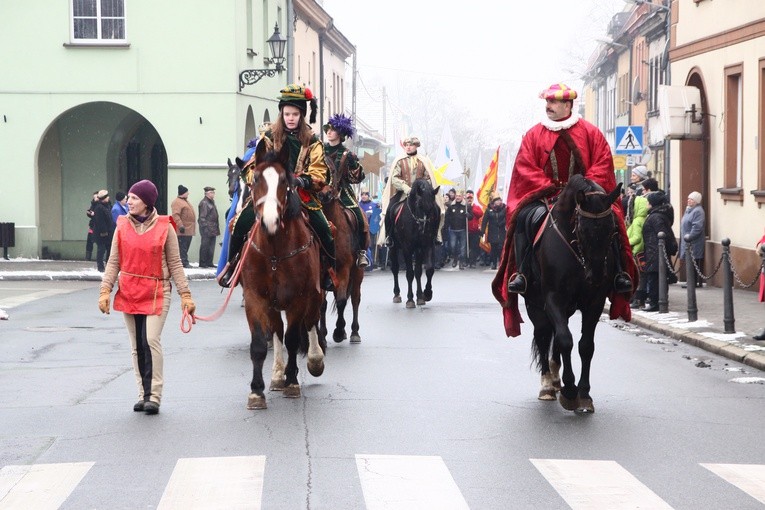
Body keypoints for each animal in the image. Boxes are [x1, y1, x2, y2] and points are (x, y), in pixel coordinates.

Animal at [236, 148, 326, 410]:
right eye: (255, 179)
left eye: (285, 181)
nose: (269, 220)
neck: (275, 250)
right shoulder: (255, 298)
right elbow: (259, 343)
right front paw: (256, 391)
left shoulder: (299, 299)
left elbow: (293, 339)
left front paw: (293, 381)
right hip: (273, 303)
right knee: (276, 330)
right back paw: (277, 375)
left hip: (315, 295)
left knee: (311, 323)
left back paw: (314, 361)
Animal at [388, 178, 442, 306]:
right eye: (419, 205)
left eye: (432, 208)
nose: (424, 229)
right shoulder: (407, 248)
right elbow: (409, 273)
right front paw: (410, 299)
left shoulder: (426, 245)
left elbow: (427, 269)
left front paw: (425, 294)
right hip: (393, 247)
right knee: (395, 268)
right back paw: (397, 294)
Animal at [524, 173, 624, 412]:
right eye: (582, 229)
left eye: (612, 229)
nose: (596, 276)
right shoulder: (553, 299)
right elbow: (564, 340)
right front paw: (570, 390)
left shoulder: (595, 302)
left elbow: (585, 346)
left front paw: (584, 394)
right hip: (535, 304)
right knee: (543, 335)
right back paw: (548, 385)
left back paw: (555, 378)